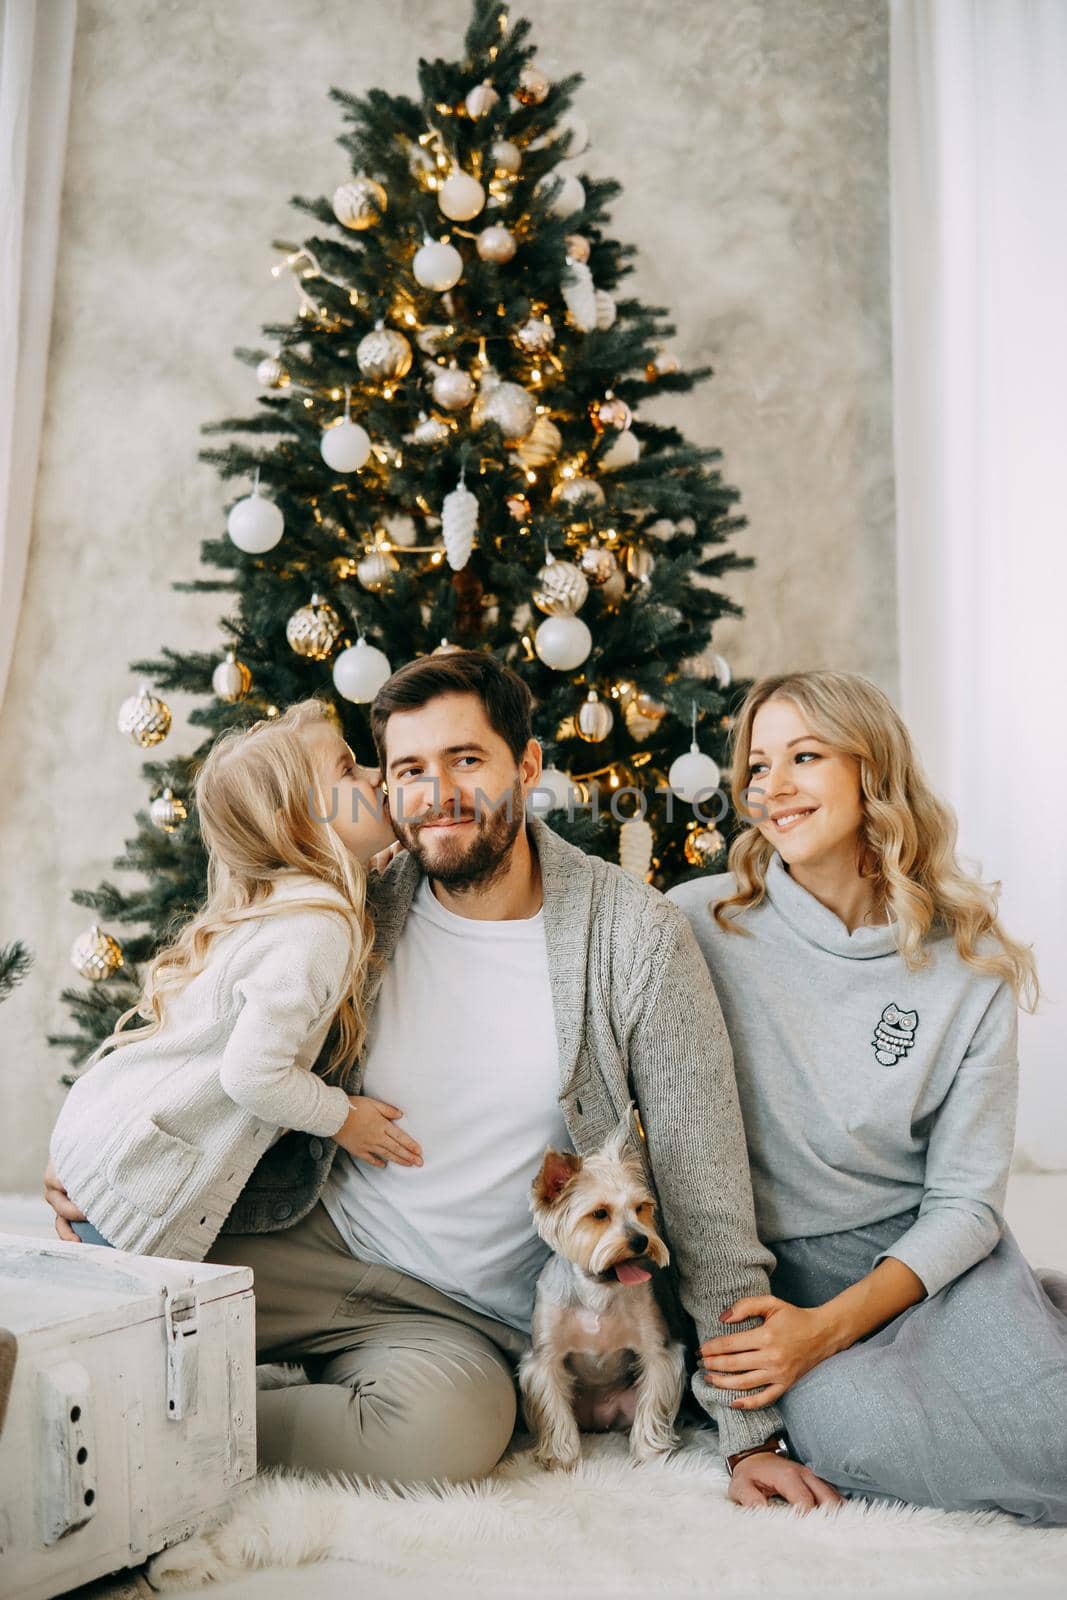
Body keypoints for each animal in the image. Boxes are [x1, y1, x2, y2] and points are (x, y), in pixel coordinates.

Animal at [518, 1107, 687, 1465]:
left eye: (641, 1208)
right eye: (599, 1214)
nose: (640, 1241)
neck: (597, 1290)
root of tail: (600, 1422)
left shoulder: (658, 1351)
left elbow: (653, 1397)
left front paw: (649, 1452)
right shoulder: (544, 1360)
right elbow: (554, 1410)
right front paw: (561, 1457)